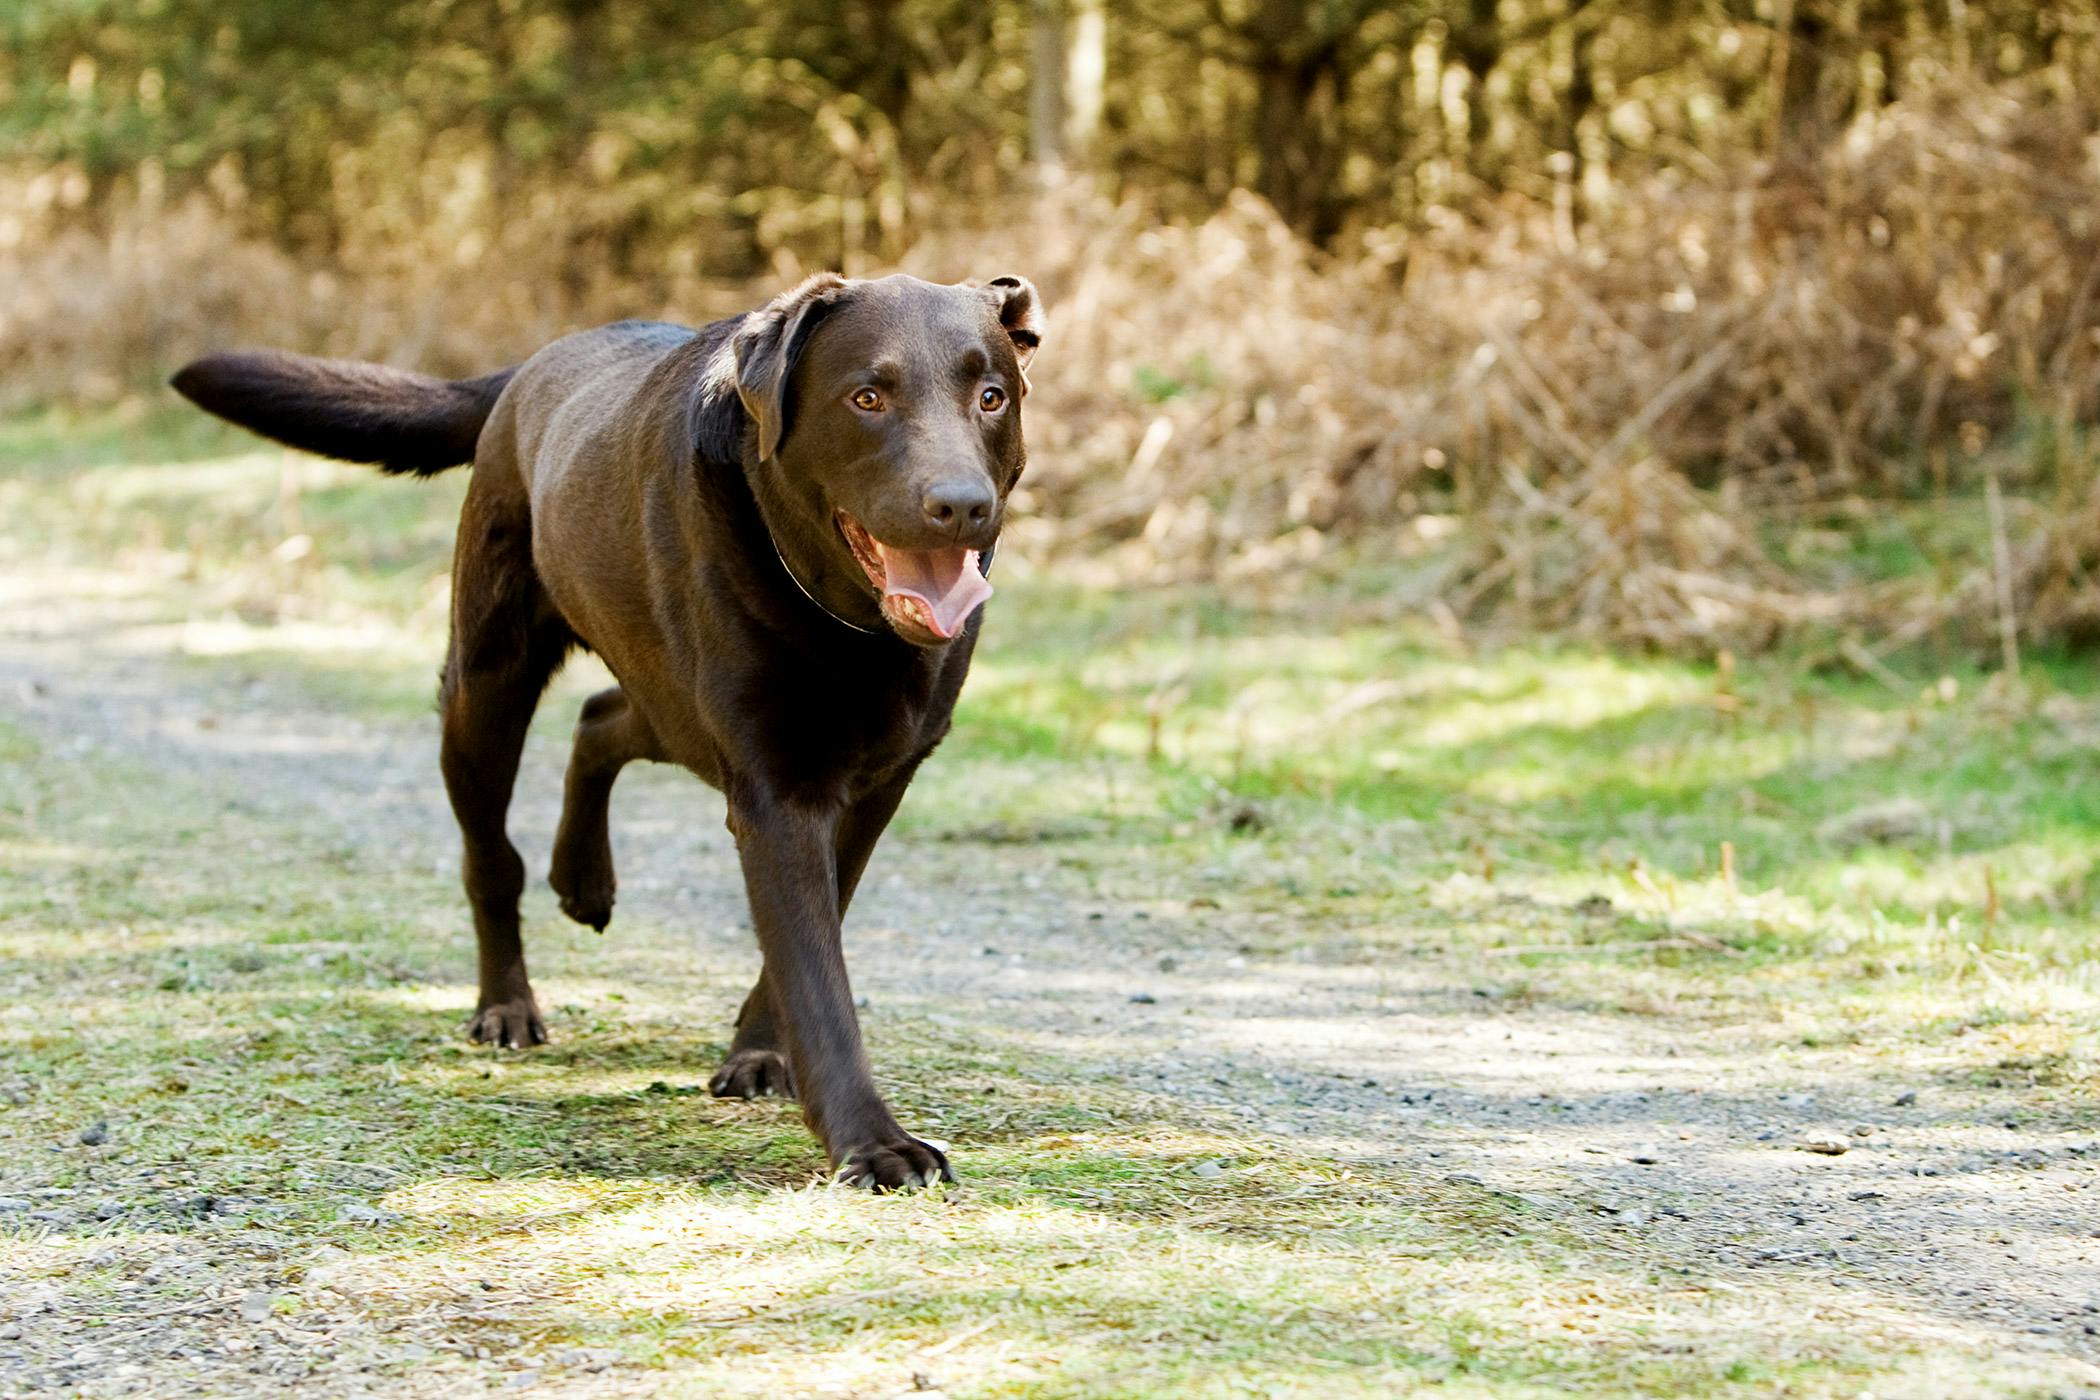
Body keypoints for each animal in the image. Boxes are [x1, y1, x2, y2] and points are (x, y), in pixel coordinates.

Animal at [172, 277, 1041, 1192]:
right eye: (867, 398)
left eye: (992, 397)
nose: (962, 506)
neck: (849, 628)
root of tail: (530, 366)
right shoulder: (775, 791)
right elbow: (816, 976)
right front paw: (872, 1143)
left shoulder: (874, 784)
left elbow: (810, 936)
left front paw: (760, 1053)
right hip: (487, 688)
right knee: (492, 858)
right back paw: (506, 1004)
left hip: (668, 700)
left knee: (599, 721)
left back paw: (583, 879)